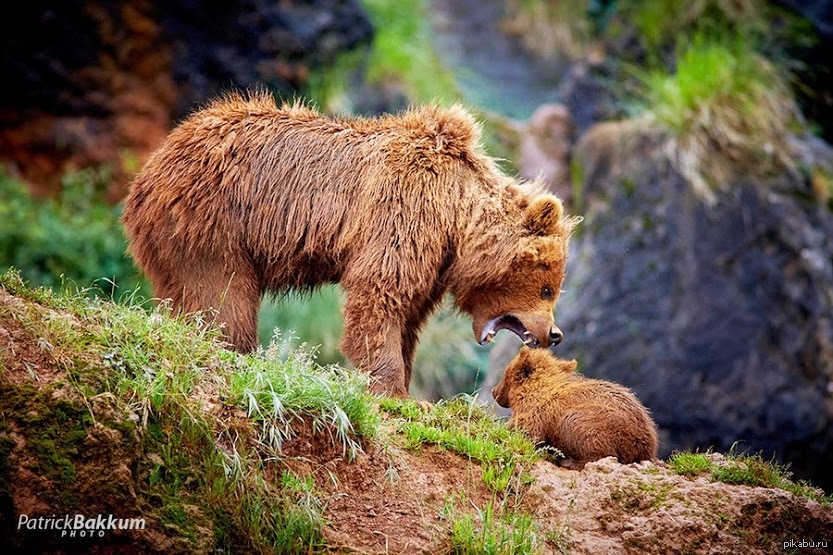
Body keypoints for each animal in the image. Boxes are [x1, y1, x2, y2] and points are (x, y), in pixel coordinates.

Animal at [122, 91, 580, 398]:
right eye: (548, 288)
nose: (555, 333)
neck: (454, 216)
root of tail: (150, 170)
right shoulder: (403, 213)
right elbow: (380, 295)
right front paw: (390, 389)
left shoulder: (430, 257)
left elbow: (409, 316)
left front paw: (405, 383)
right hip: (214, 221)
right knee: (222, 293)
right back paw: (234, 349)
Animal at [490, 350, 660, 466]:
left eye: (505, 374)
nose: (494, 391)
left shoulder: (537, 412)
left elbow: (525, 432)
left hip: (602, 424)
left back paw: (570, 461)